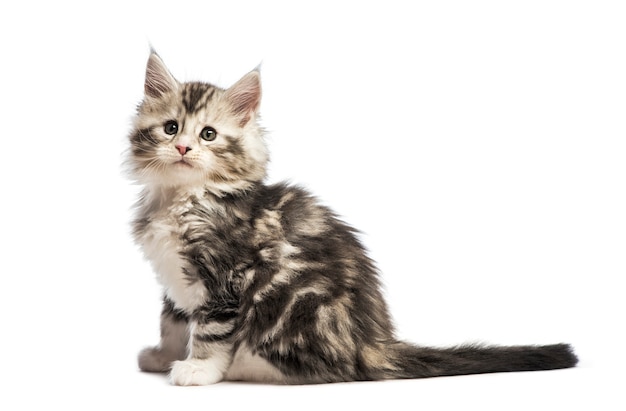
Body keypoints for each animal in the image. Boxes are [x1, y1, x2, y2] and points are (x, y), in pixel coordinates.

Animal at [127, 51, 576, 386]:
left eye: (208, 134)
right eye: (171, 128)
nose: (183, 148)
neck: (184, 197)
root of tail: (371, 343)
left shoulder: (225, 276)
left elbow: (211, 330)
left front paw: (198, 368)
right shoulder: (175, 281)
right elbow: (172, 321)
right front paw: (164, 356)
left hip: (298, 308)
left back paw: (244, 367)